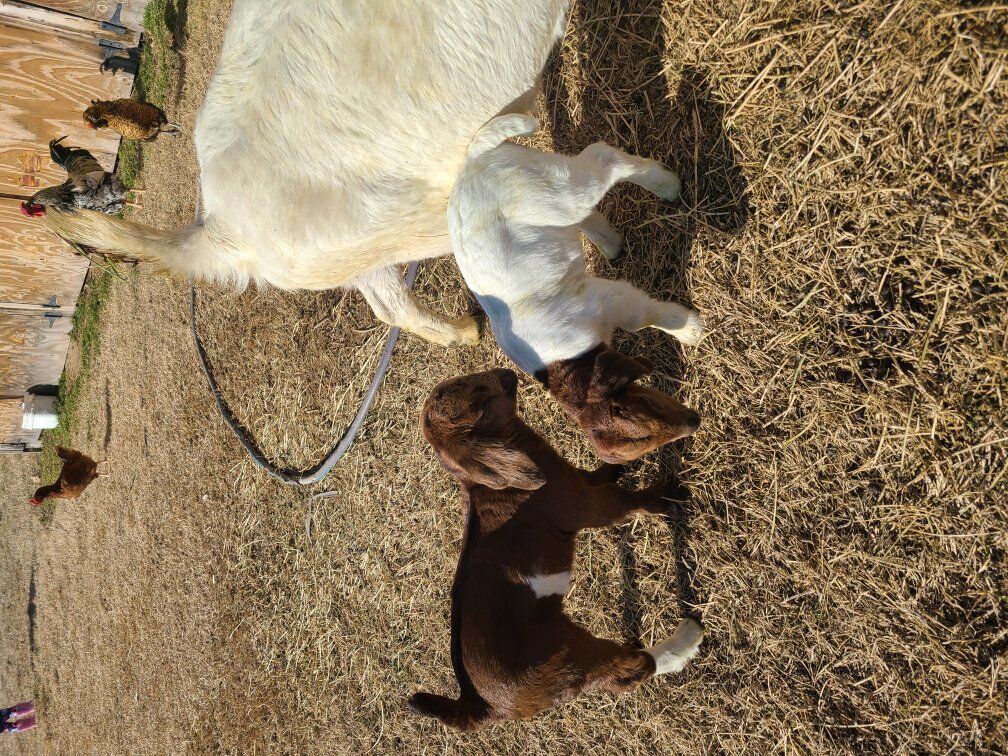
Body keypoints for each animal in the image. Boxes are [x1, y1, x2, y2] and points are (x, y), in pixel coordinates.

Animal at [410, 369, 704, 730]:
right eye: (480, 398)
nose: (507, 372)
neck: (495, 486)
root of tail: (476, 704)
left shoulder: (580, 480)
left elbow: (598, 475)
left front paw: (616, 467)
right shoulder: (590, 505)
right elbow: (629, 502)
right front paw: (669, 493)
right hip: (566, 662)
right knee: (629, 671)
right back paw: (685, 641)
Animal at [448, 114, 702, 461]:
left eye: (648, 403)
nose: (695, 423)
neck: (564, 362)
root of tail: (471, 159)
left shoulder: (602, 299)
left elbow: (641, 318)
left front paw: (690, 330)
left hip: (553, 192)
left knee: (600, 158)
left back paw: (665, 184)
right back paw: (610, 242)